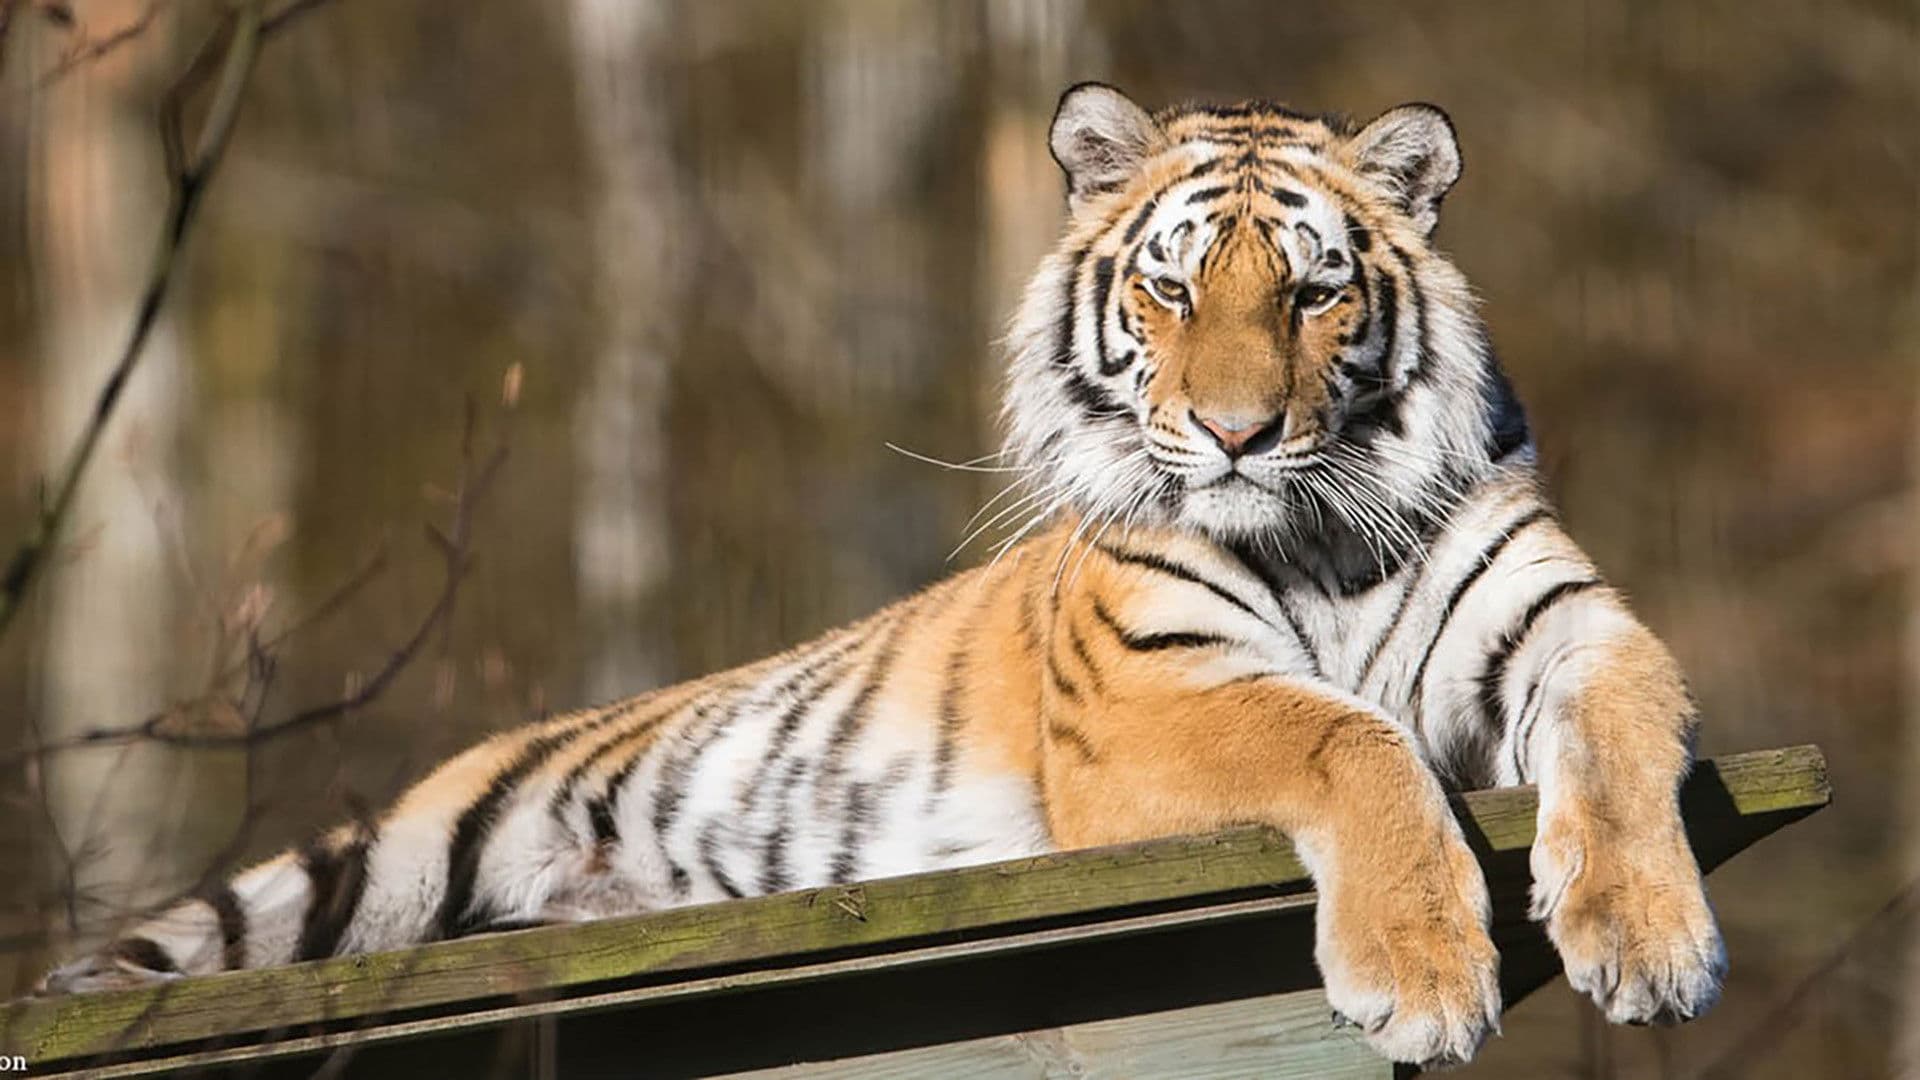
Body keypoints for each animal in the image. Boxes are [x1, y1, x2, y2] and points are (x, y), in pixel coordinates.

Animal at [38, 83, 1725, 1069]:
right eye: (1174, 290)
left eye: (1313, 295)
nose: (1239, 433)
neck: (1314, 525)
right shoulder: (1148, 701)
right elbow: (1347, 735)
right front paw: (1426, 976)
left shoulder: (1570, 623)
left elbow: (1624, 736)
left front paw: (1650, 941)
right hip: (386, 859)